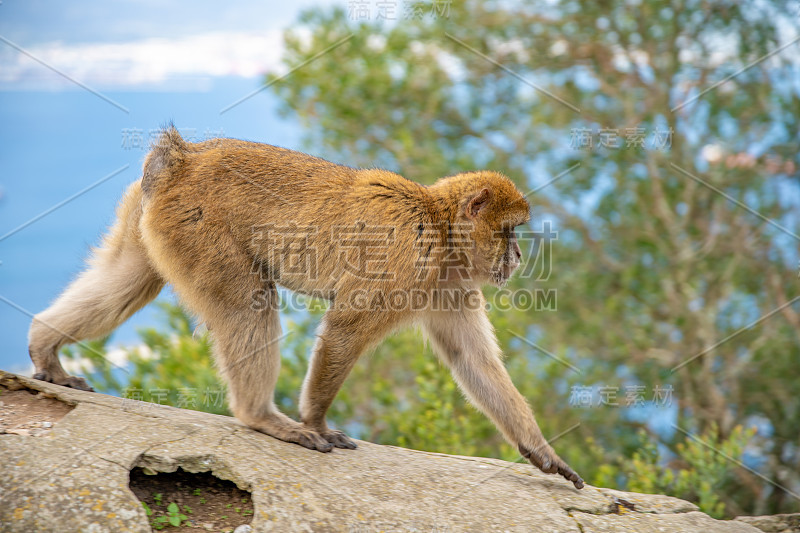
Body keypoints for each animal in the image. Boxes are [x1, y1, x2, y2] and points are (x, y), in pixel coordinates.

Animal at [28, 127, 584, 488]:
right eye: (509, 230)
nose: (517, 255)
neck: (440, 227)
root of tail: (184, 157)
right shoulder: (407, 262)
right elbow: (345, 328)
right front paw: (316, 421)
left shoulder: (448, 282)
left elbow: (474, 362)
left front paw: (543, 452)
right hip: (198, 229)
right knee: (247, 304)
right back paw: (261, 417)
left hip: (152, 221)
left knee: (127, 282)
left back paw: (44, 348)